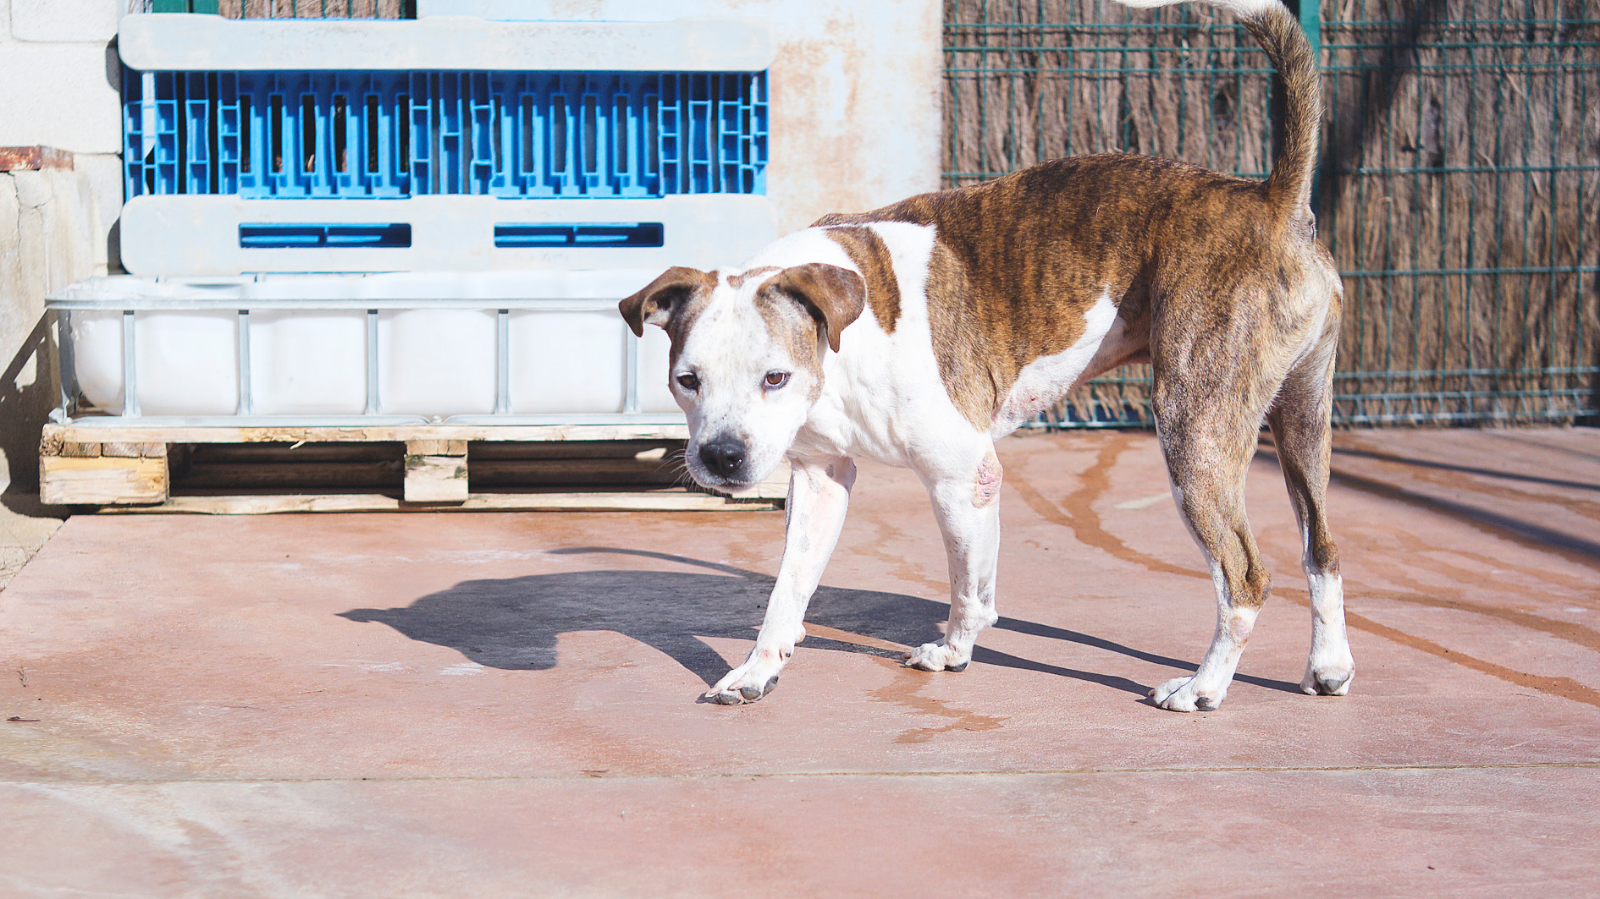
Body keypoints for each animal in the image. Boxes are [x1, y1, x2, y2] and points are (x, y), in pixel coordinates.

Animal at [619, 0, 1351, 712]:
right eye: (686, 380)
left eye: (776, 377)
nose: (722, 457)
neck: (843, 339)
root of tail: (1269, 198)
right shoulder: (821, 479)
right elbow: (787, 589)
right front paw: (757, 668)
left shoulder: (961, 473)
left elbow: (968, 589)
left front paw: (954, 651)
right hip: (1301, 420)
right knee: (1322, 545)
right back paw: (1329, 665)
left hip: (1193, 432)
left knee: (1244, 575)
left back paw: (1205, 686)